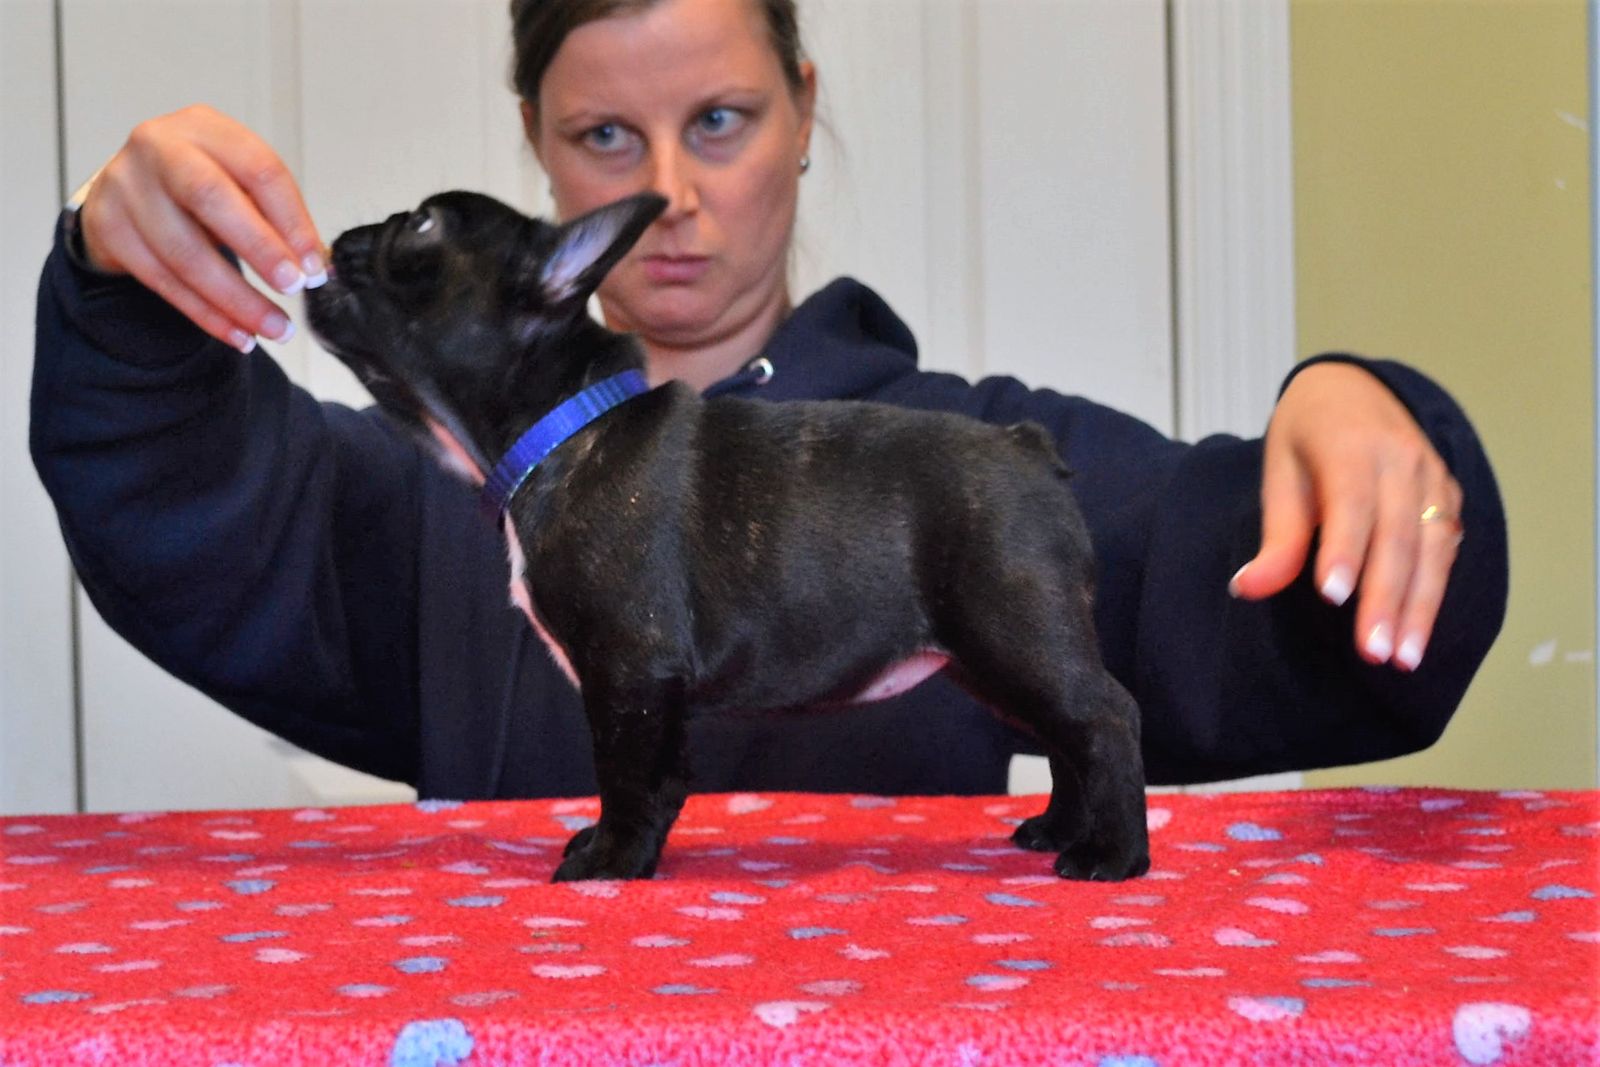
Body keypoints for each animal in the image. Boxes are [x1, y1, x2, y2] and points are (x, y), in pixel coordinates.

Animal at [305, 190, 1149, 883]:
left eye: (421, 227)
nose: (347, 235)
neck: (563, 426)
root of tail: (1027, 446)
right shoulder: (648, 686)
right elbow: (654, 774)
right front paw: (616, 846)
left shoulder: (629, 669)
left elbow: (625, 772)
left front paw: (612, 861)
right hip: (987, 658)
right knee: (1065, 733)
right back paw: (1056, 831)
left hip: (1010, 628)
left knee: (1103, 716)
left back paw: (1112, 856)